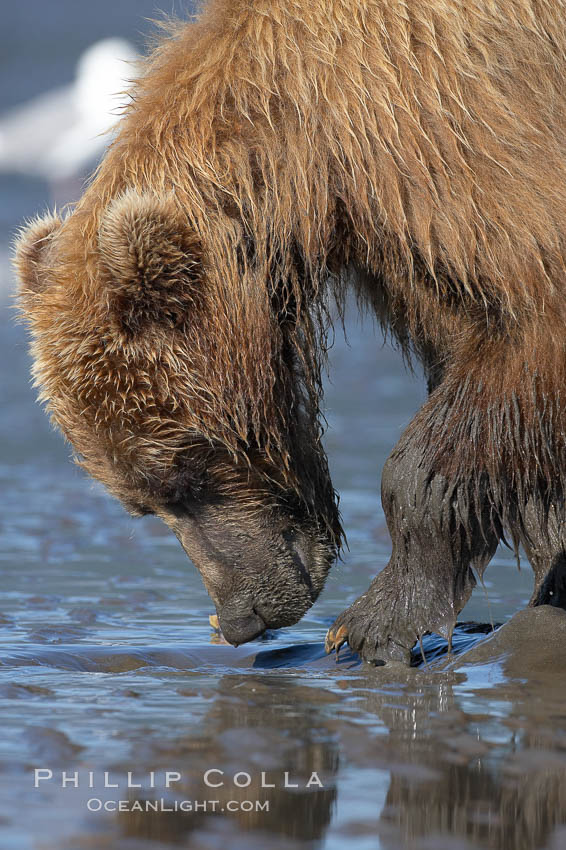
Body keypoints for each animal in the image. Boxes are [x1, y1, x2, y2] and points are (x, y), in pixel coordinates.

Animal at [13, 0, 566, 664]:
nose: (238, 619)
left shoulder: (470, 147)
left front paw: (372, 624)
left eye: (187, 471)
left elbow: (513, 349)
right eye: (143, 503)